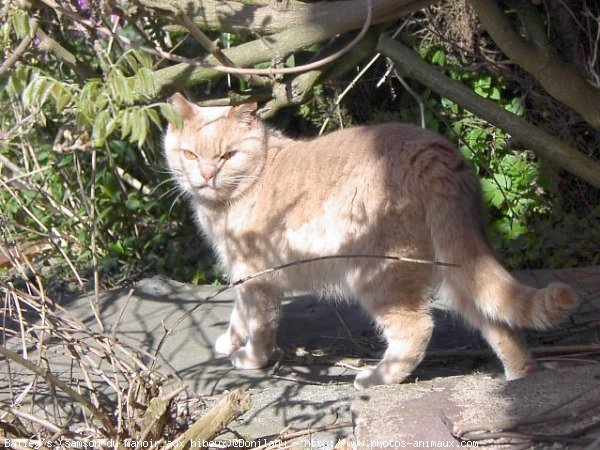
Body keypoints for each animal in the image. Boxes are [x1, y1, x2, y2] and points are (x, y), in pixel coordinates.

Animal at [162, 93, 580, 388]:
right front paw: (230, 341)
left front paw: (251, 358)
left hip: (377, 276)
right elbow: (239, 314)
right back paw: (520, 379)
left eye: (228, 156)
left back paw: (376, 377)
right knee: (498, 322)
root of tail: (435, 155)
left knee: (417, 329)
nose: (206, 176)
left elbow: (258, 323)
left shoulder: (254, 275)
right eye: (190, 154)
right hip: (456, 270)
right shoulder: (242, 275)